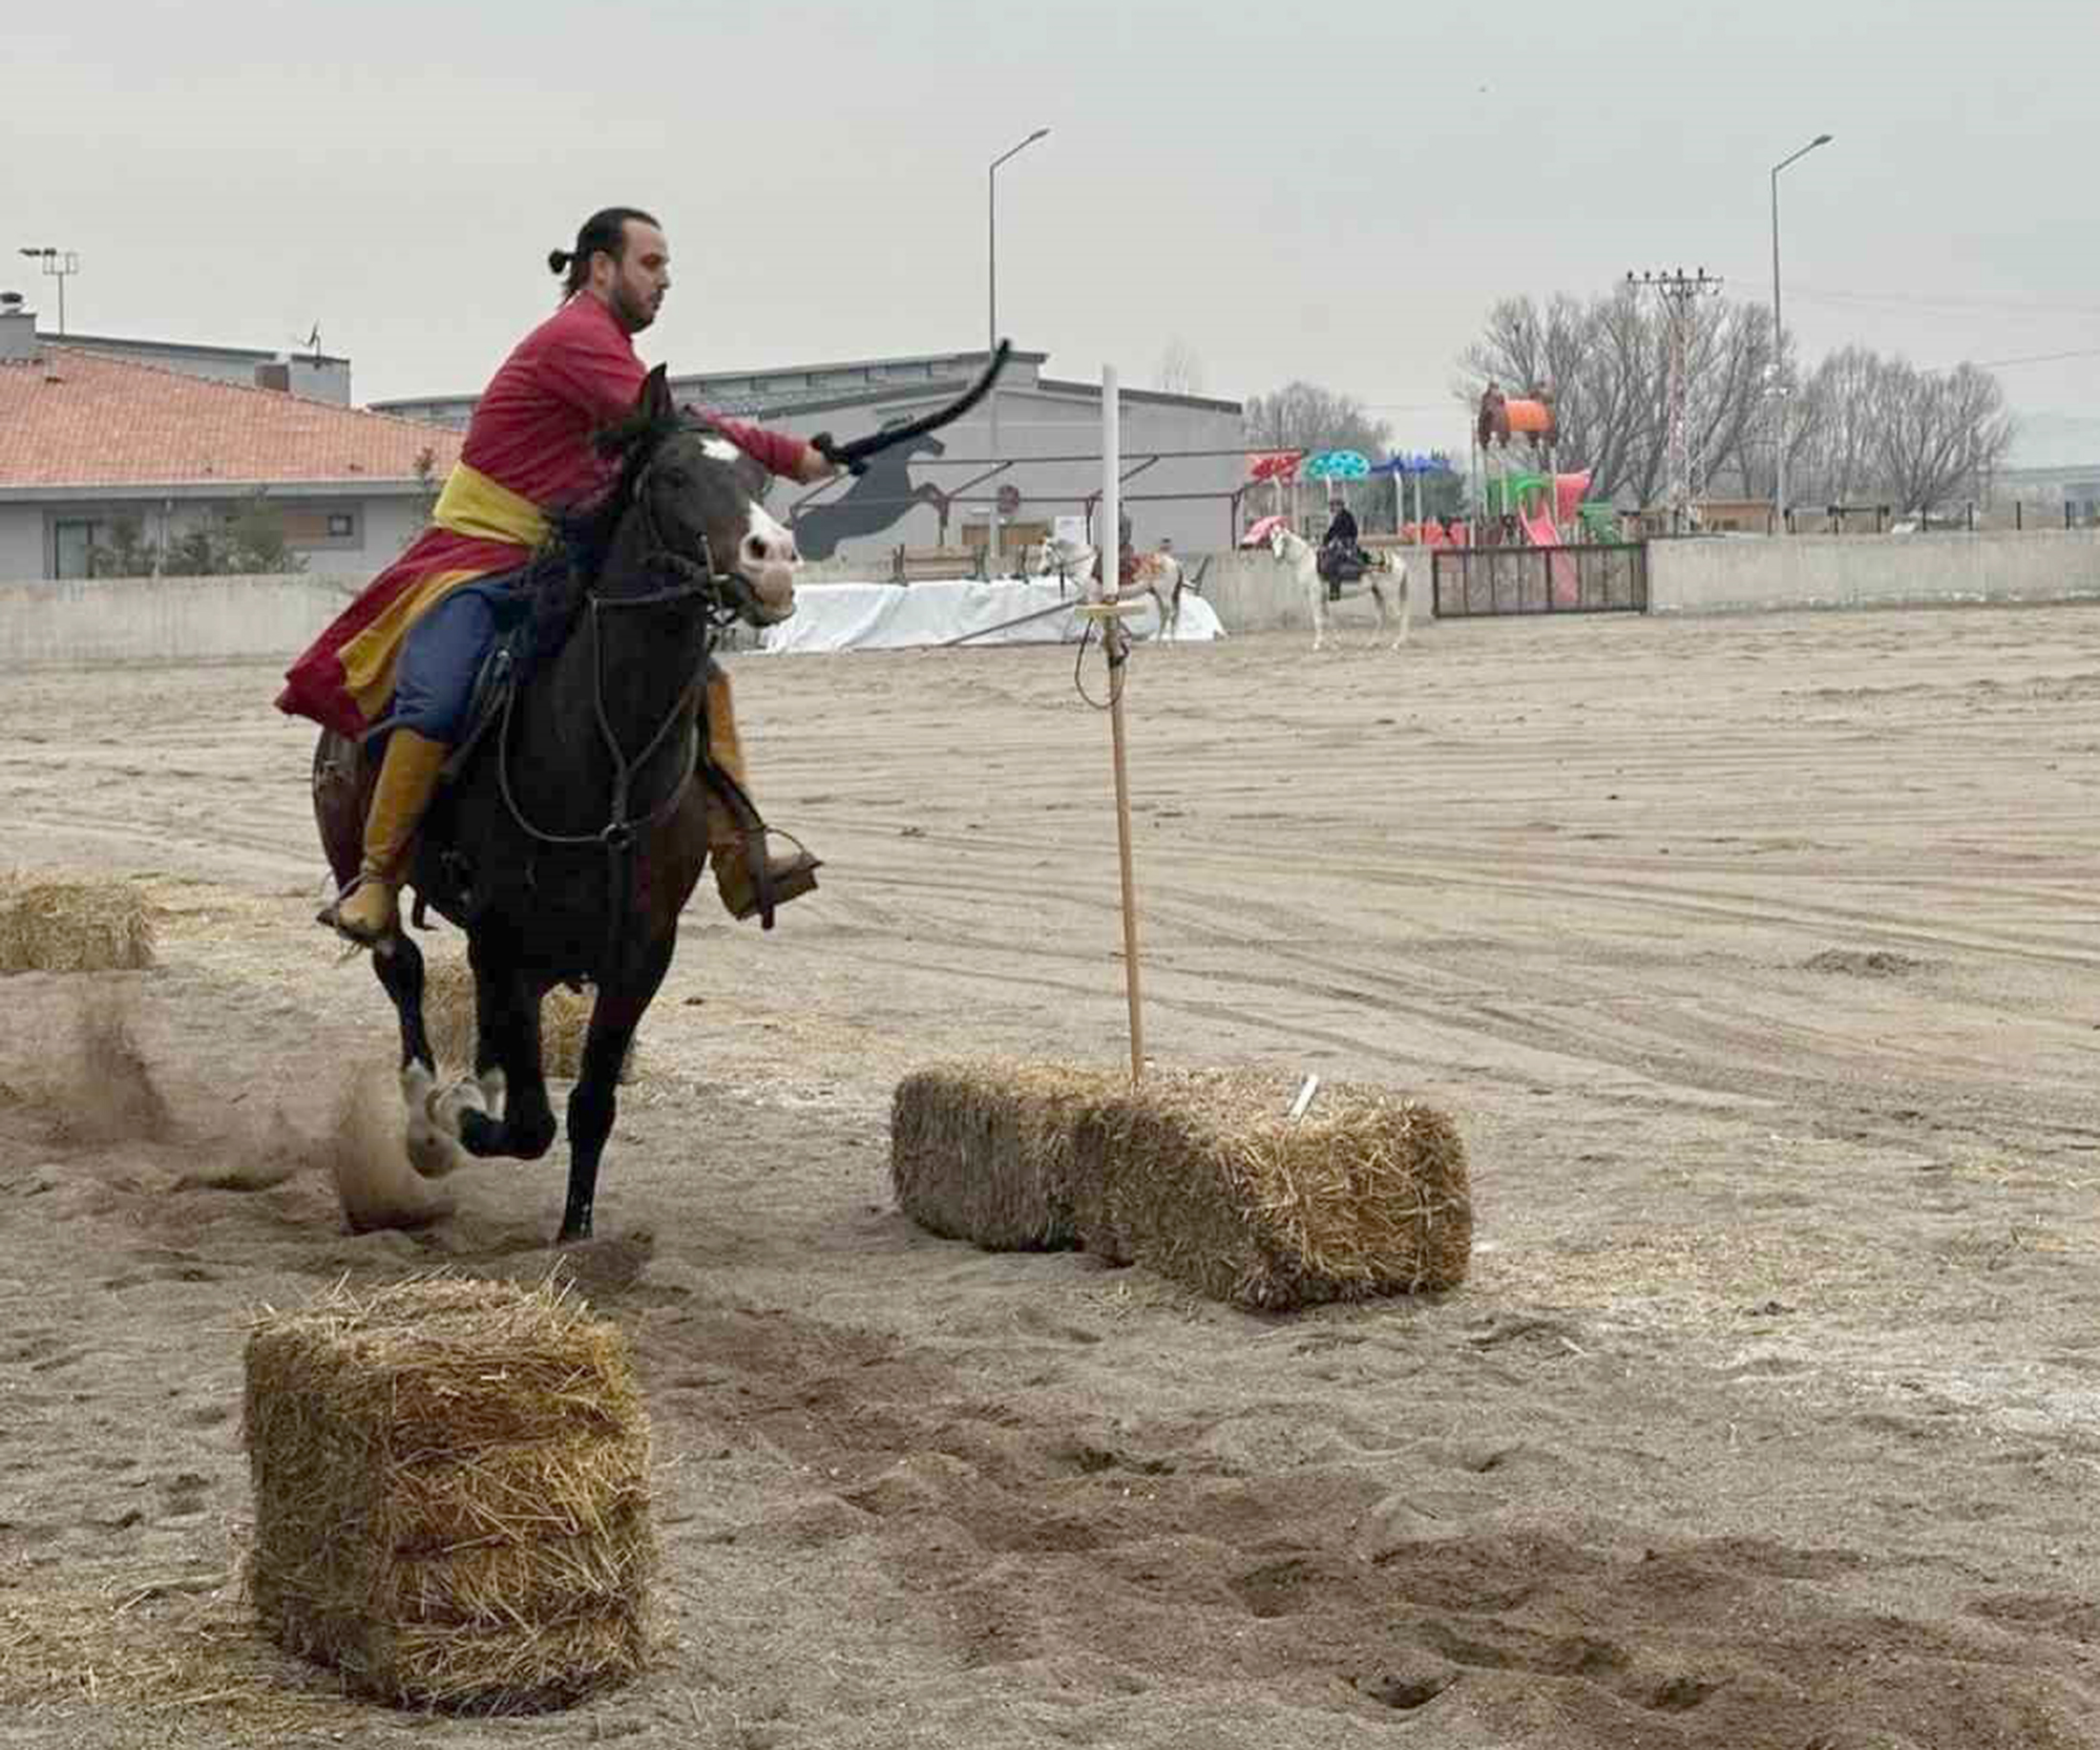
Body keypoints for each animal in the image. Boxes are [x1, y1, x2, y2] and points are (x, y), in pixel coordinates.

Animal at [1260, 529, 1411, 651]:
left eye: (1283, 540)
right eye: (1272, 540)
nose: (1277, 558)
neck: (1307, 561)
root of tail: (1398, 562)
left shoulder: (1314, 596)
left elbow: (1318, 620)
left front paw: (1317, 644)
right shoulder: (1322, 598)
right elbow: (1329, 619)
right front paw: (1336, 643)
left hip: (1389, 594)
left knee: (1400, 616)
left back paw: (1397, 644)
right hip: (1378, 593)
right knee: (1381, 618)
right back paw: (1373, 643)